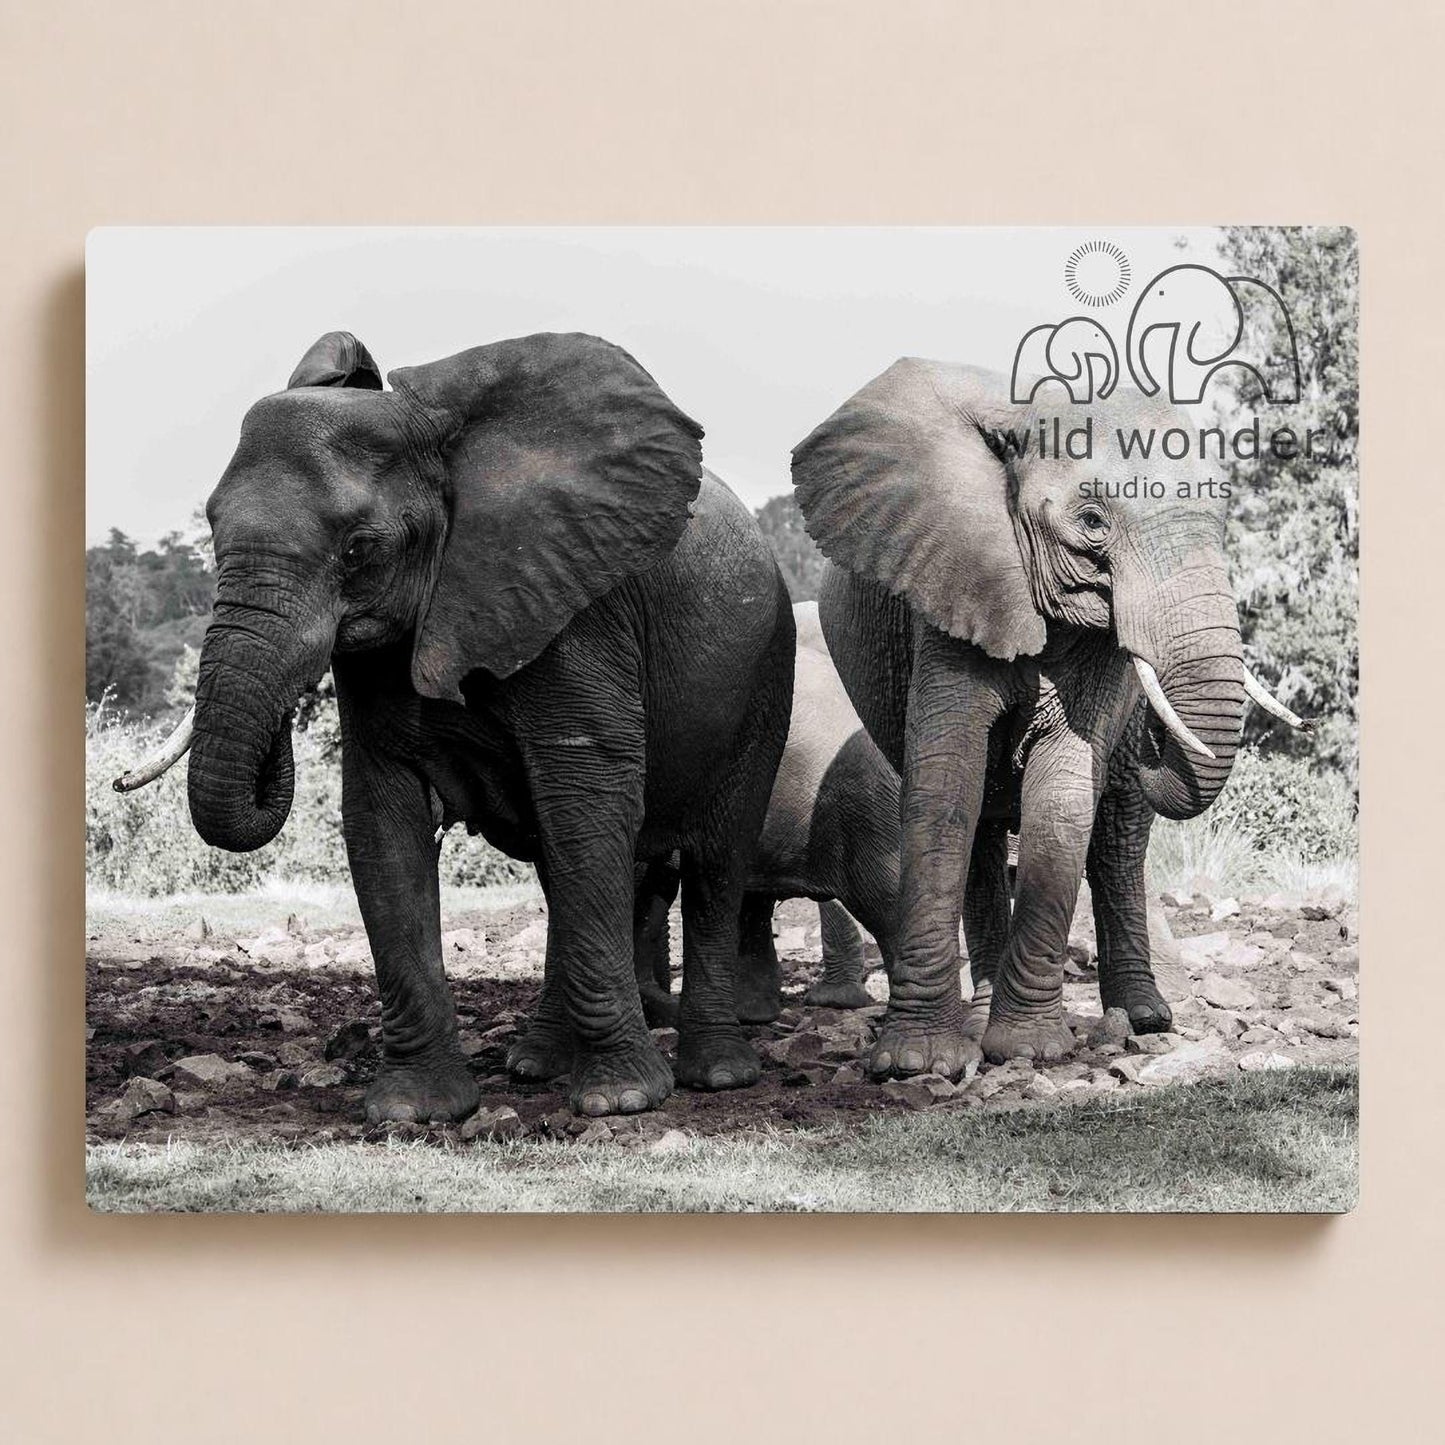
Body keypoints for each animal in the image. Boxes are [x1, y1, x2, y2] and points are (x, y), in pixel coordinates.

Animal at [117, 329, 796, 1121]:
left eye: (359, 547)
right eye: (212, 526)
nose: (118, 778)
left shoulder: (575, 608)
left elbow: (588, 801)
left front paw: (621, 1099)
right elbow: (383, 820)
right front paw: (414, 1110)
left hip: (765, 665)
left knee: (716, 855)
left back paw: (715, 1075)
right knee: (564, 867)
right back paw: (536, 1064)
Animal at [793, 357, 1309, 1078]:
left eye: (1224, 514)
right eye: (1091, 520)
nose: (1153, 737)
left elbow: (1065, 789)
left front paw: (1029, 1049)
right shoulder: (948, 579)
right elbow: (945, 784)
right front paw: (916, 1062)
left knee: (1117, 841)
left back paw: (1144, 1021)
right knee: (982, 829)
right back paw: (979, 1015)